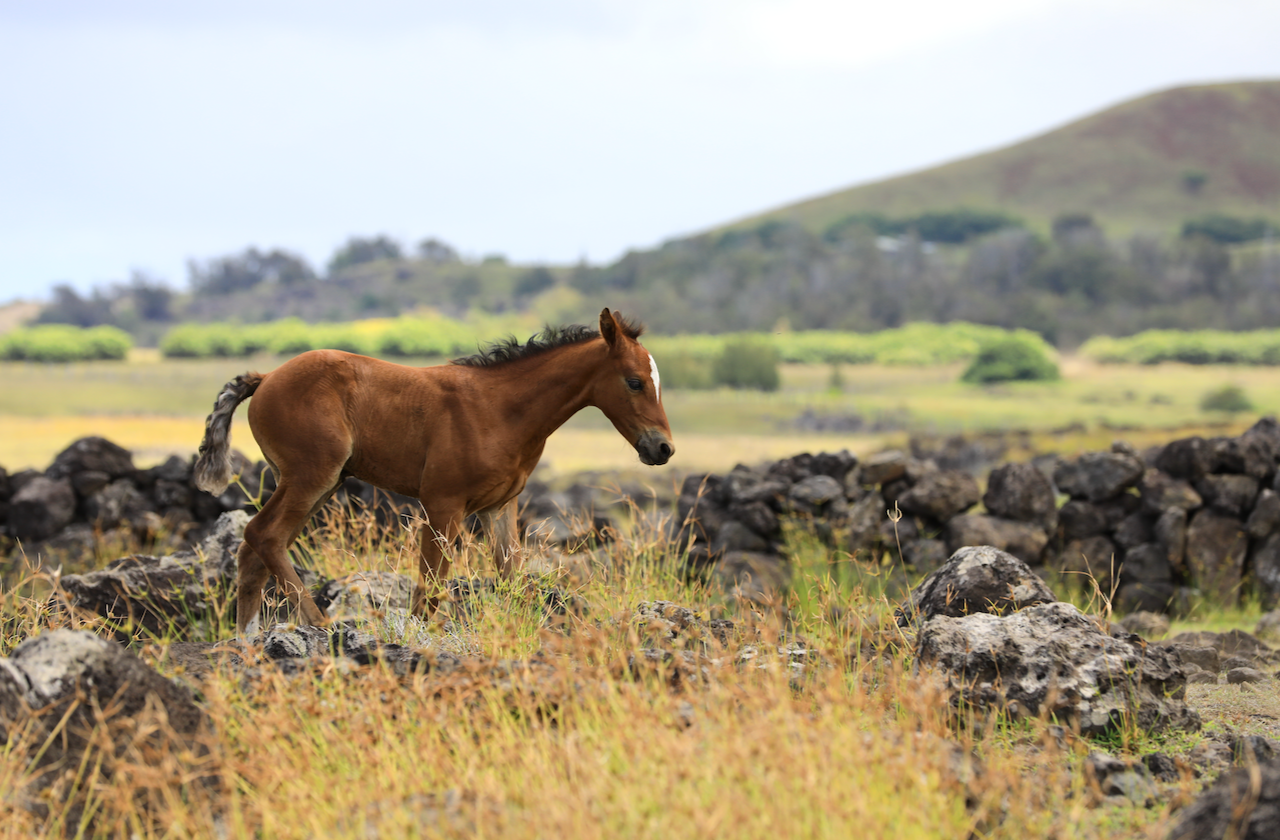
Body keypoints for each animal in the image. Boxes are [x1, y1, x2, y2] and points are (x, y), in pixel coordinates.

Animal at [192, 308, 670, 637]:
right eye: (634, 381)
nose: (663, 448)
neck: (500, 409)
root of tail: (266, 376)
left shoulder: (499, 507)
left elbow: (511, 578)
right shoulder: (442, 504)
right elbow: (432, 587)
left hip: (318, 484)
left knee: (253, 548)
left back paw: (247, 641)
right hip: (312, 477)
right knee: (263, 535)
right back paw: (318, 626)